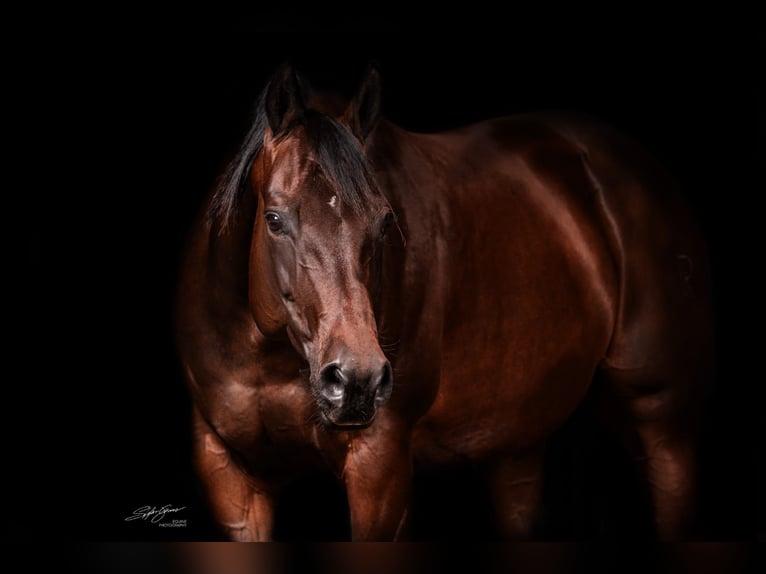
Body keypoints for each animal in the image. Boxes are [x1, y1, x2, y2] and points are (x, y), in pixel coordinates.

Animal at [175, 62, 714, 541]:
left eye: (384, 223)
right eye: (274, 218)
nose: (357, 379)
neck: (266, 359)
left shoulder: (380, 466)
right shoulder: (230, 477)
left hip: (662, 420)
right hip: (516, 446)